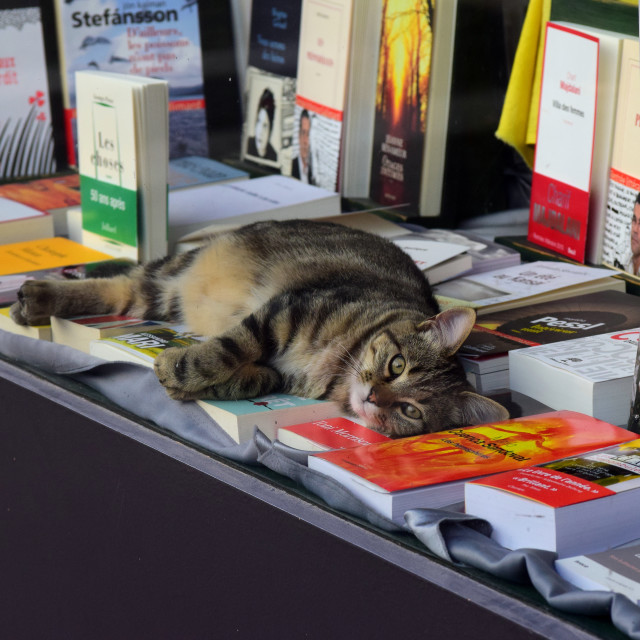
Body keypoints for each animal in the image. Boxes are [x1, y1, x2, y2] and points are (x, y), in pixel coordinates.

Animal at [10, 219, 508, 436]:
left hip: (162, 296)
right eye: (397, 365)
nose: (372, 397)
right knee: (122, 281)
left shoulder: (279, 365)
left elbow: (246, 376)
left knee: (122, 290)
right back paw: (35, 297)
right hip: (174, 274)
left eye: (409, 411)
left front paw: (184, 378)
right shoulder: (281, 312)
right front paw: (182, 368)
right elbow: (223, 351)